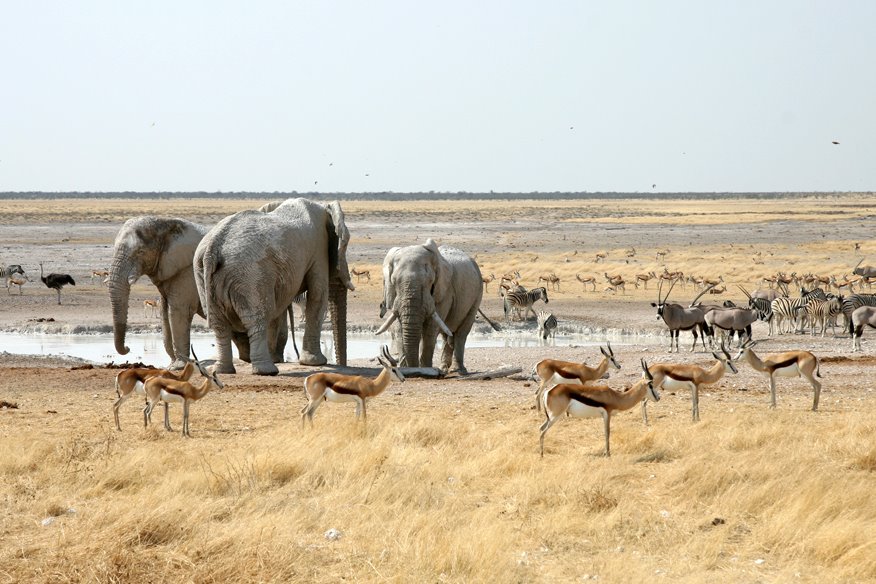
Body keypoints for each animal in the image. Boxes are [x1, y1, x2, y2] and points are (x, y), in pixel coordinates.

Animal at [109, 217, 209, 372]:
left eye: (140, 251)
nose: (128, 348)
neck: (165, 223)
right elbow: (164, 312)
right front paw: (171, 365)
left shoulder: (188, 272)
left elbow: (179, 312)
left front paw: (178, 366)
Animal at [193, 198, 354, 376]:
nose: (343, 365)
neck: (324, 207)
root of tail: (211, 250)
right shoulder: (319, 249)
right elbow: (317, 296)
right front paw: (315, 362)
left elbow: (280, 308)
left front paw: (280, 358)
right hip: (250, 275)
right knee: (258, 317)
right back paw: (267, 370)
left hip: (203, 275)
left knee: (219, 324)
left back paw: (223, 370)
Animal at [376, 238, 482, 372]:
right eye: (394, 281)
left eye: (430, 281)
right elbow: (399, 329)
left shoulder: (443, 292)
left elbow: (430, 329)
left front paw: (425, 369)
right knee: (447, 334)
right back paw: (444, 368)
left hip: (478, 291)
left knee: (461, 332)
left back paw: (459, 370)